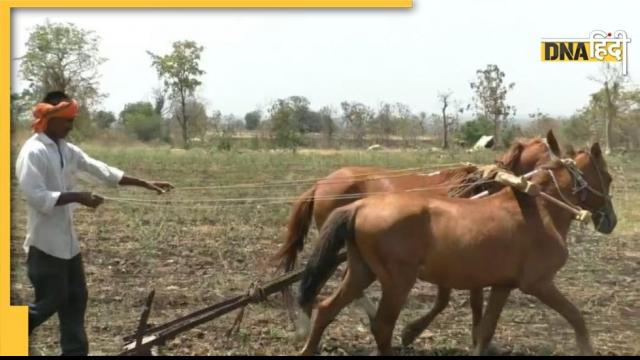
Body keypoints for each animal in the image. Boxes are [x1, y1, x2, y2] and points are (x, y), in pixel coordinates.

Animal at [272, 130, 564, 344]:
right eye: (547, 150)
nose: (565, 163)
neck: (479, 188)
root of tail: (321, 183)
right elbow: (456, 298)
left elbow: (473, 300)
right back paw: (309, 326)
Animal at [298, 142, 616, 356]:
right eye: (609, 177)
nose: (610, 221)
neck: (541, 209)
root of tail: (359, 206)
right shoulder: (538, 283)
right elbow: (576, 317)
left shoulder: (503, 285)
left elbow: (486, 330)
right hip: (396, 282)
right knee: (382, 326)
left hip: (362, 272)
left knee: (326, 309)